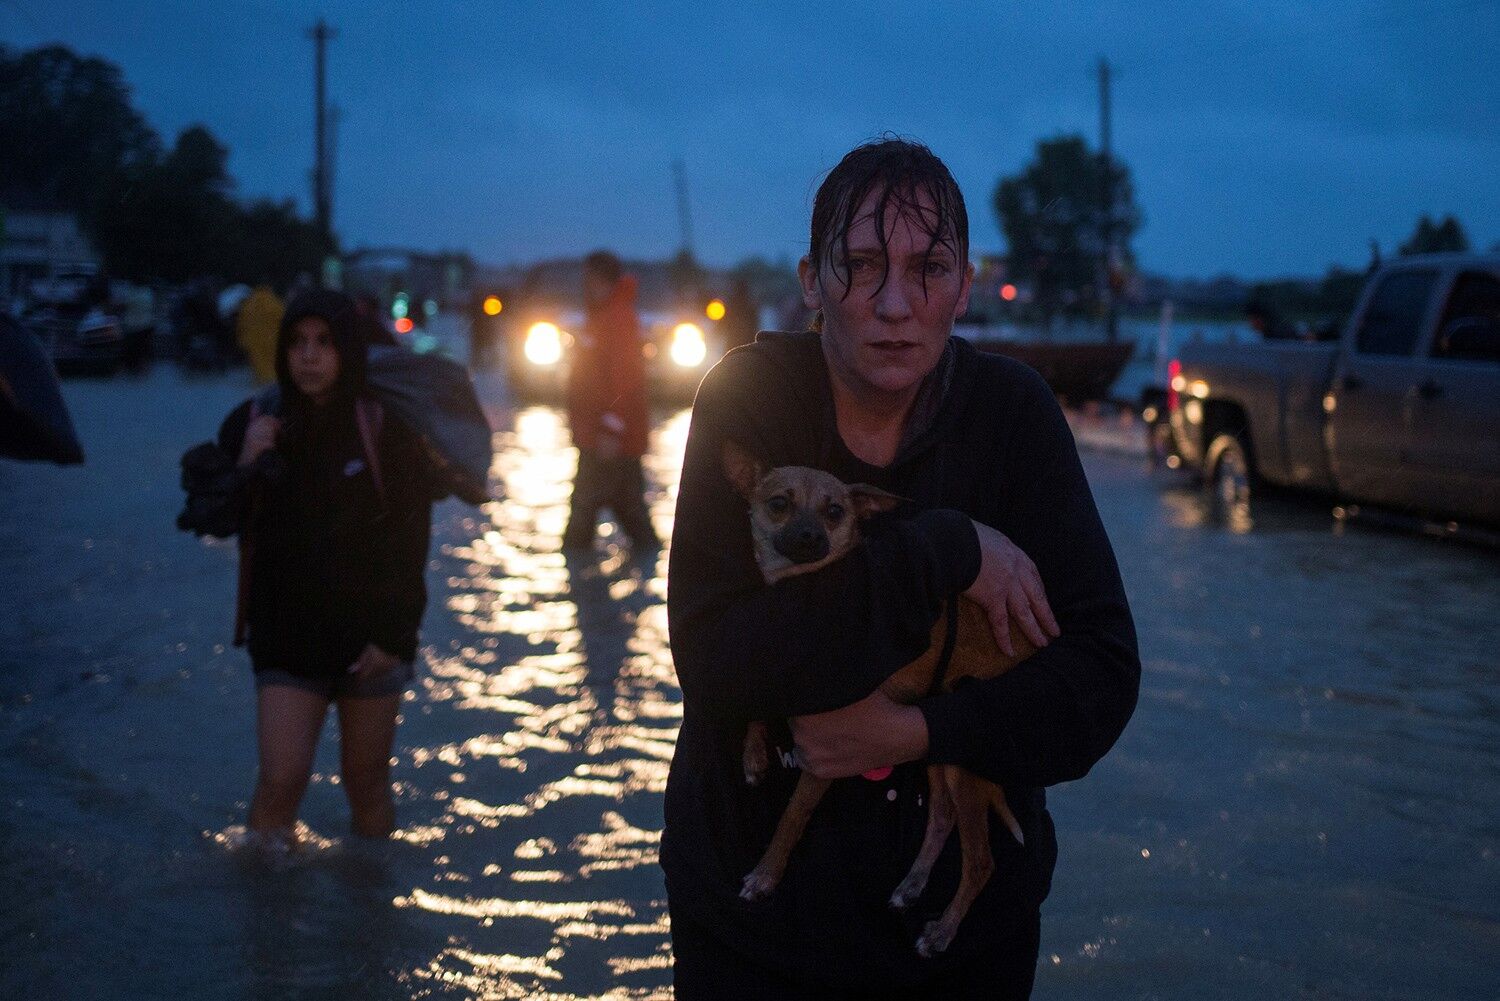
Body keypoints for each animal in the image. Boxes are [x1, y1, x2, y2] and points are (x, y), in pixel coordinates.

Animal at [720, 441, 1038, 960]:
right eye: (779, 503)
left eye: (835, 512)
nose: (809, 535)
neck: (808, 589)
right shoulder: (782, 662)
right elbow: (759, 695)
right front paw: (753, 755)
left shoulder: (828, 754)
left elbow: (792, 818)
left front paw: (766, 876)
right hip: (936, 747)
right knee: (942, 815)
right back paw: (911, 886)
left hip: (962, 767)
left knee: (981, 861)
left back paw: (942, 932)